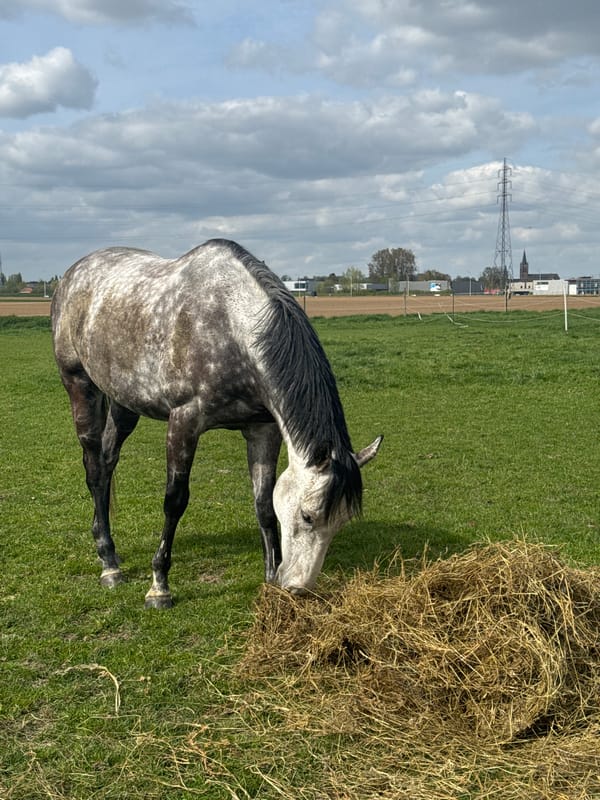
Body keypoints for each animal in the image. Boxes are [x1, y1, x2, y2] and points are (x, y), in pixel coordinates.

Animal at [51, 239, 382, 608]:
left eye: (342, 522)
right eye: (308, 516)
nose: (298, 588)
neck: (232, 328)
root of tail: (73, 273)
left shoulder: (263, 430)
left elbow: (264, 504)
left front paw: (270, 576)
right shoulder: (183, 422)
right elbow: (174, 500)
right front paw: (159, 586)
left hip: (124, 402)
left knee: (108, 462)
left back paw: (111, 552)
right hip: (79, 385)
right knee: (94, 469)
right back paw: (108, 563)